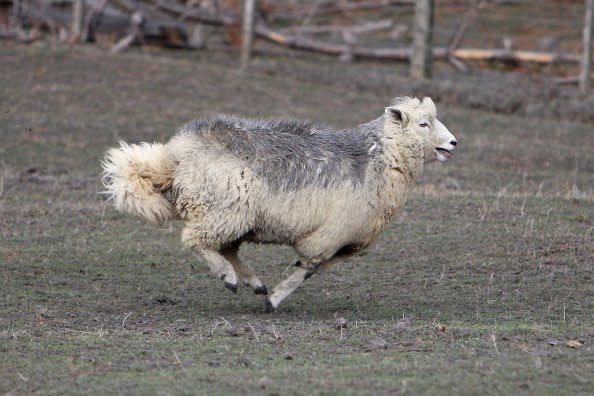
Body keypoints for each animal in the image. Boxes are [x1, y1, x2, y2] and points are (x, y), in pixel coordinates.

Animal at [102, 96, 456, 312]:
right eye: (423, 124)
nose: (453, 142)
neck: (379, 159)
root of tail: (175, 154)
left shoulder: (347, 242)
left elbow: (312, 269)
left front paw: (271, 295)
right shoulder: (329, 235)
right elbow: (308, 268)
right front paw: (276, 298)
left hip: (234, 217)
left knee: (226, 248)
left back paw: (253, 282)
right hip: (221, 210)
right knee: (195, 241)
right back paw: (229, 277)